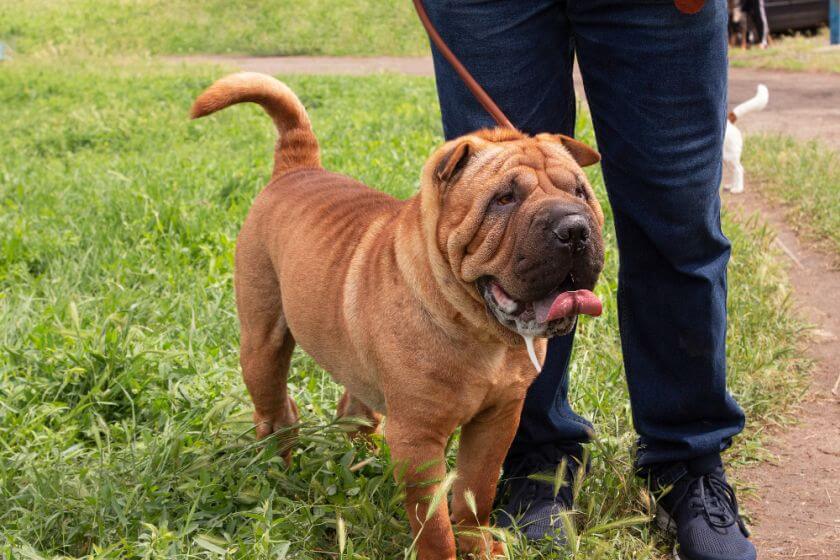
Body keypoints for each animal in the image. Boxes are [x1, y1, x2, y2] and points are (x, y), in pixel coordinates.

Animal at [190, 74, 604, 560]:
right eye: (504, 198)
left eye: (579, 191)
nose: (574, 228)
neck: (477, 329)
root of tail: (296, 167)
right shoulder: (418, 439)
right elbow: (433, 523)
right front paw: (446, 553)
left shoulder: (498, 419)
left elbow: (475, 492)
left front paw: (480, 545)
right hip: (263, 341)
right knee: (275, 411)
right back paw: (278, 469)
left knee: (352, 409)